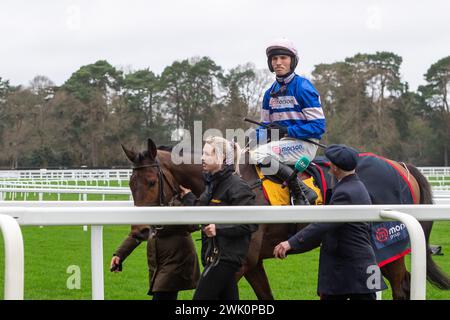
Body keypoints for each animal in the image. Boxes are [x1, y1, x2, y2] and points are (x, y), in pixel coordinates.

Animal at [120, 138, 450, 300]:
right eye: (131, 185)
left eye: (151, 181)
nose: (140, 231)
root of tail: (401, 166)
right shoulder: (252, 264)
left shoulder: (239, 262)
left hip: (391, 243)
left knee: (402, 287)